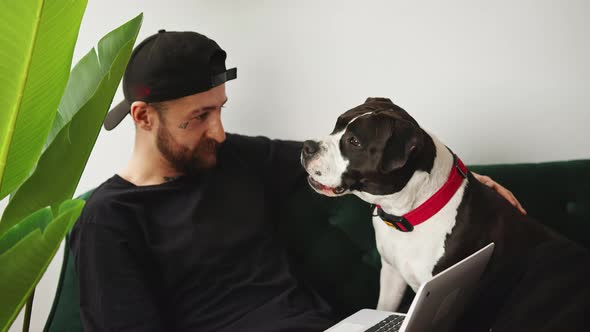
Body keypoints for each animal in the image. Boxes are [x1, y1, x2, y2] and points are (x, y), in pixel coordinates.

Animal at [300, 98, 590, 332]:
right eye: (336, 125)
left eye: (354, 142)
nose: (307, 146)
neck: (409, 212)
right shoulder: (392, 274)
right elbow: (383, 305)